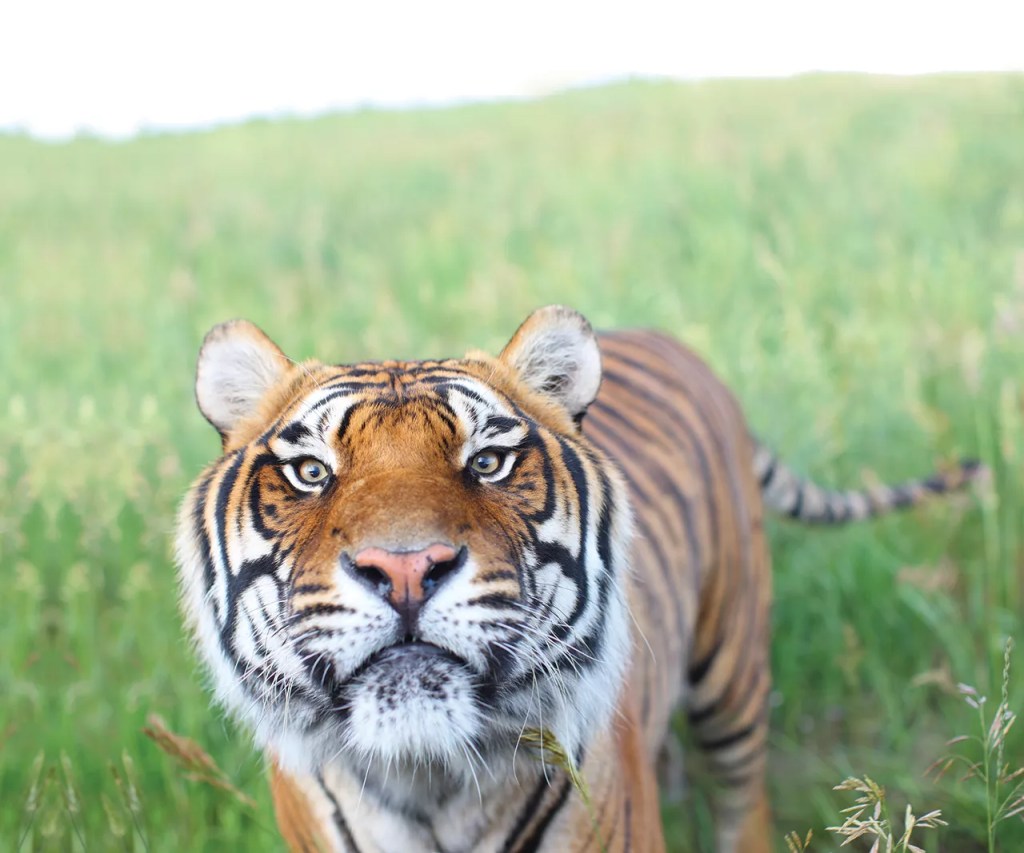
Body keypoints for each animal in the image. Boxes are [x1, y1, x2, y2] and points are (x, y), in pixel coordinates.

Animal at [175, 305, 982, 852]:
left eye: (488, 462)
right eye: (312, 473)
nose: (406, 568)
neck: (429, 777)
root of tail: (668, 339)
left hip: (732, 670)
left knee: (742, 797)